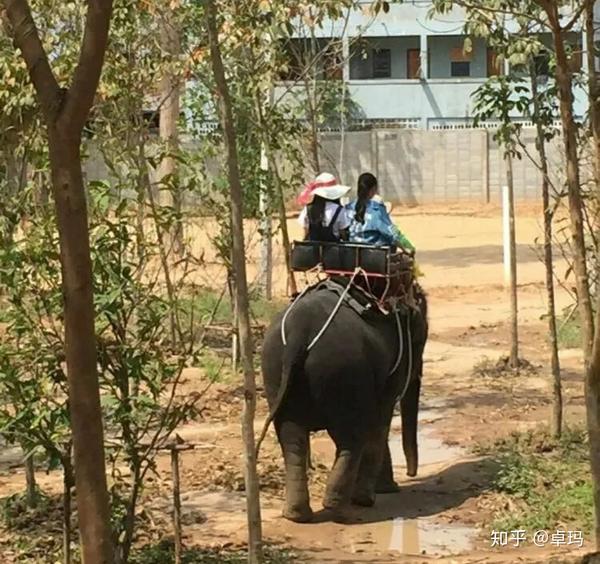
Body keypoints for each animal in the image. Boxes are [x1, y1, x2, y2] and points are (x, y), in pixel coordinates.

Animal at [262, 280, 426, 524]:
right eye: (420, 341)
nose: (411, 474)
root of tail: (299, 332)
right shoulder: (393, 367)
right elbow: (381, 420)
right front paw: (381, 492)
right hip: (344, 371)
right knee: (352, 436)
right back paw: (346, 508)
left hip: (275, 368)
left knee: (292, 437)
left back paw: (297, 515)